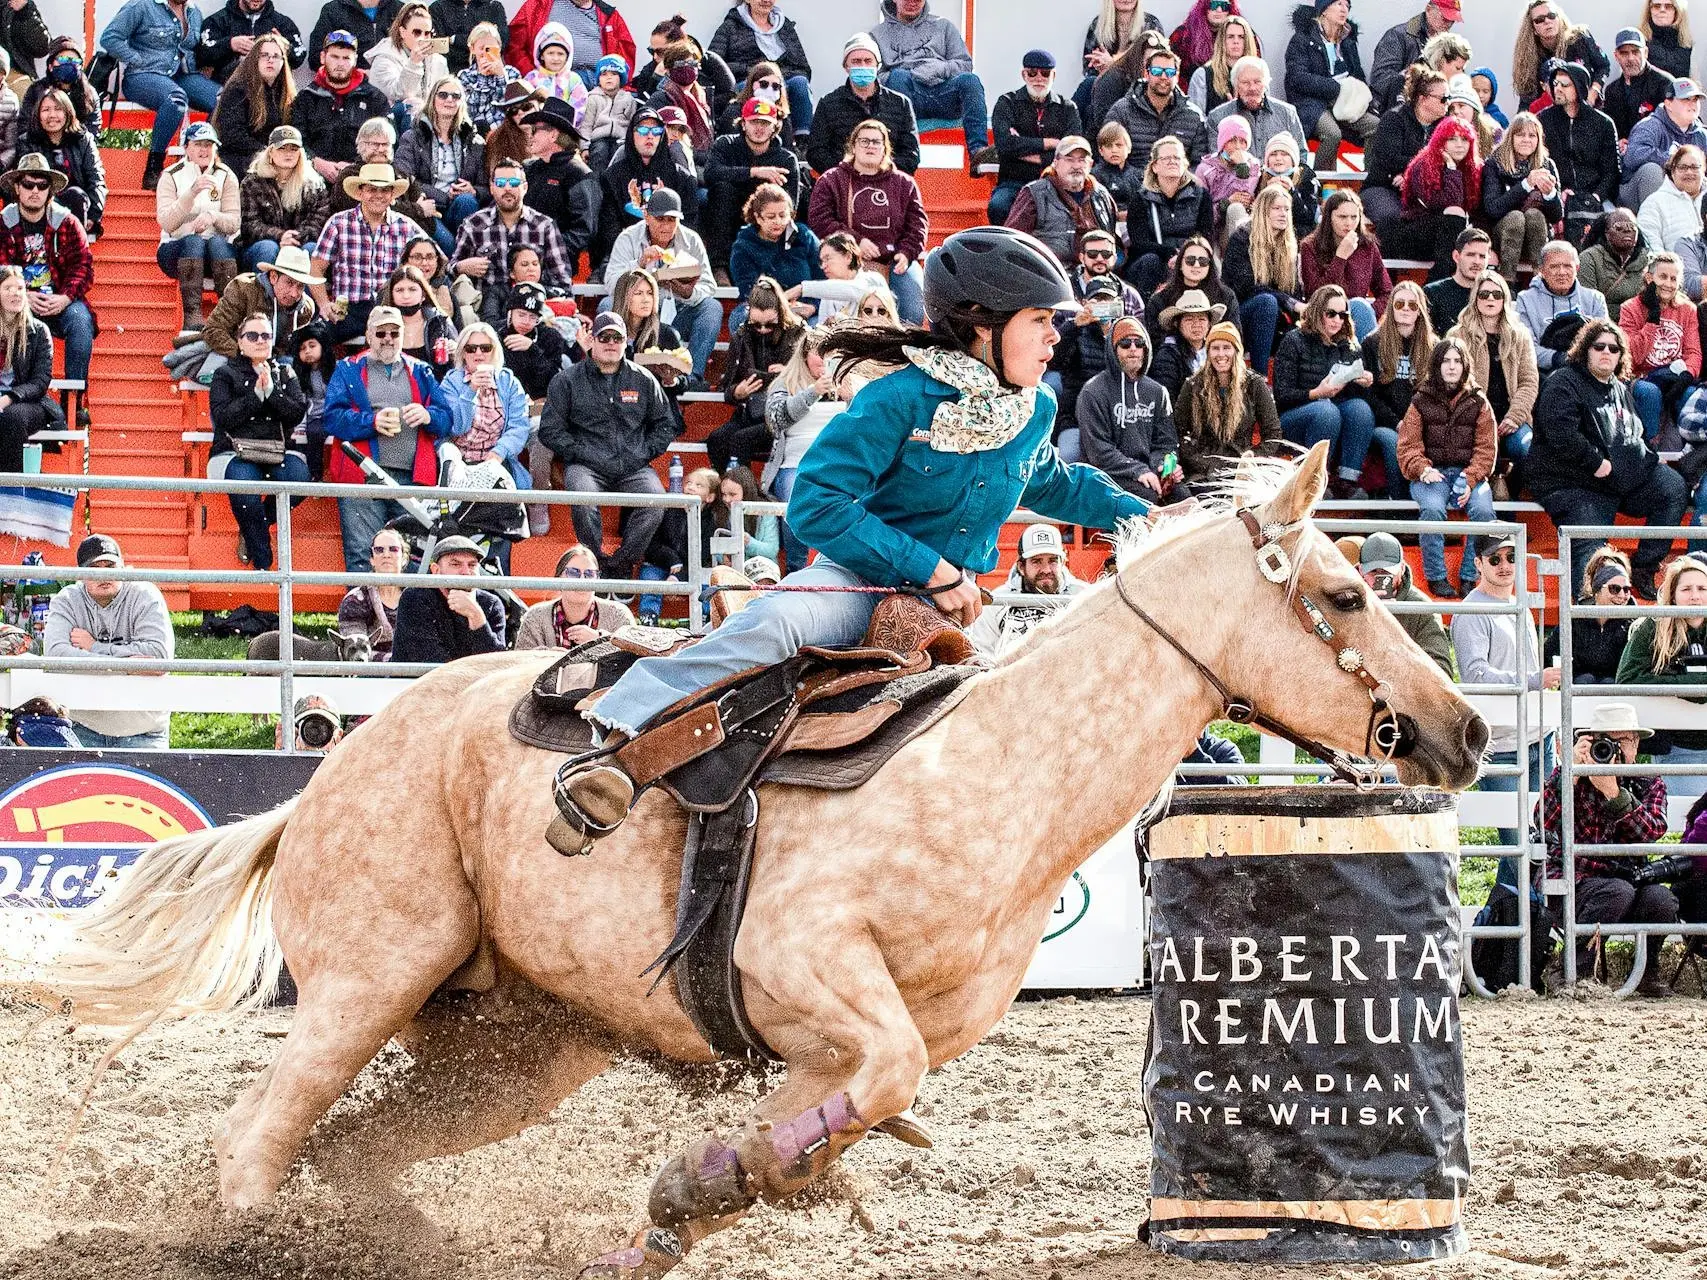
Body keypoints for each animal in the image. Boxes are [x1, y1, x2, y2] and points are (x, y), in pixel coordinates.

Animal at [33, 447, 1488, 1276]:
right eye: (1346, 594)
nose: (1464, 733)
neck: (994, 773)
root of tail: (339, 763)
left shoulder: (844, 1043)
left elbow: (851, 1102)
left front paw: (700, 1198)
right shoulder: (806, 972)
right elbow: (883, 1078)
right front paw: (711, 1183)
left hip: (513, 1049)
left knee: (349, 1146)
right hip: (368, 978)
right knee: (257, 1137)